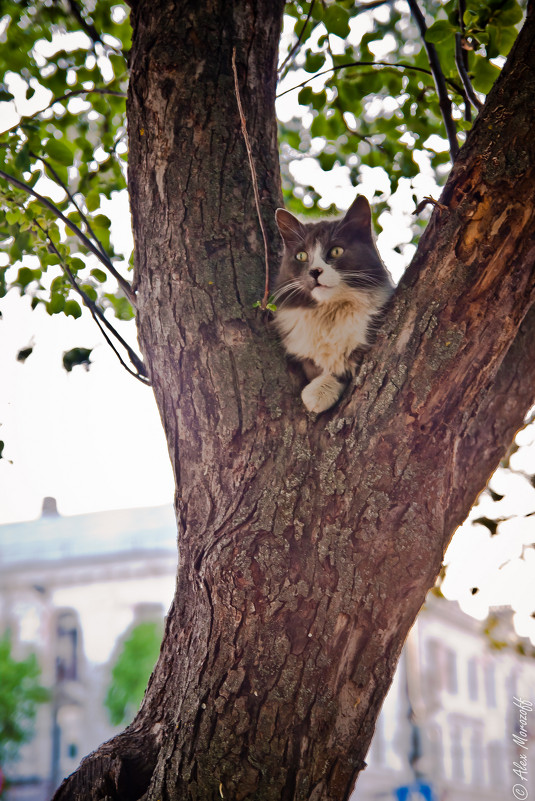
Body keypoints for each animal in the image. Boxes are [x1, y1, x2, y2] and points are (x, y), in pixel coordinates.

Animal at [272, 194, 394, 412]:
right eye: (301, 256)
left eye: (336, 251)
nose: (315, 271)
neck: (329, 312)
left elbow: (342, 368)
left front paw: (317, 394)